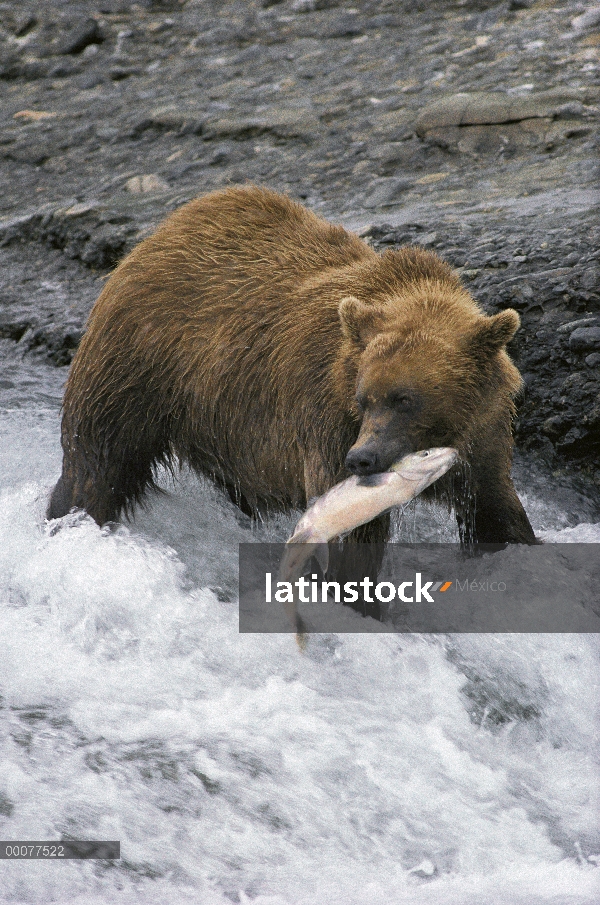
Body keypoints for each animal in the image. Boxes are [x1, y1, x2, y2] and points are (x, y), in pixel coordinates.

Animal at [47, 185, 536, 552]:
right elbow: (352, 530)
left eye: (405, 399)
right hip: (137, 366)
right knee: (97, 463)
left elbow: (496, 512)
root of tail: (156, 234)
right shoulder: (325, 420)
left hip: (220, 420)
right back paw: (67, 519)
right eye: (364, 399)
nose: (363, 458)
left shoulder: (484, 436)